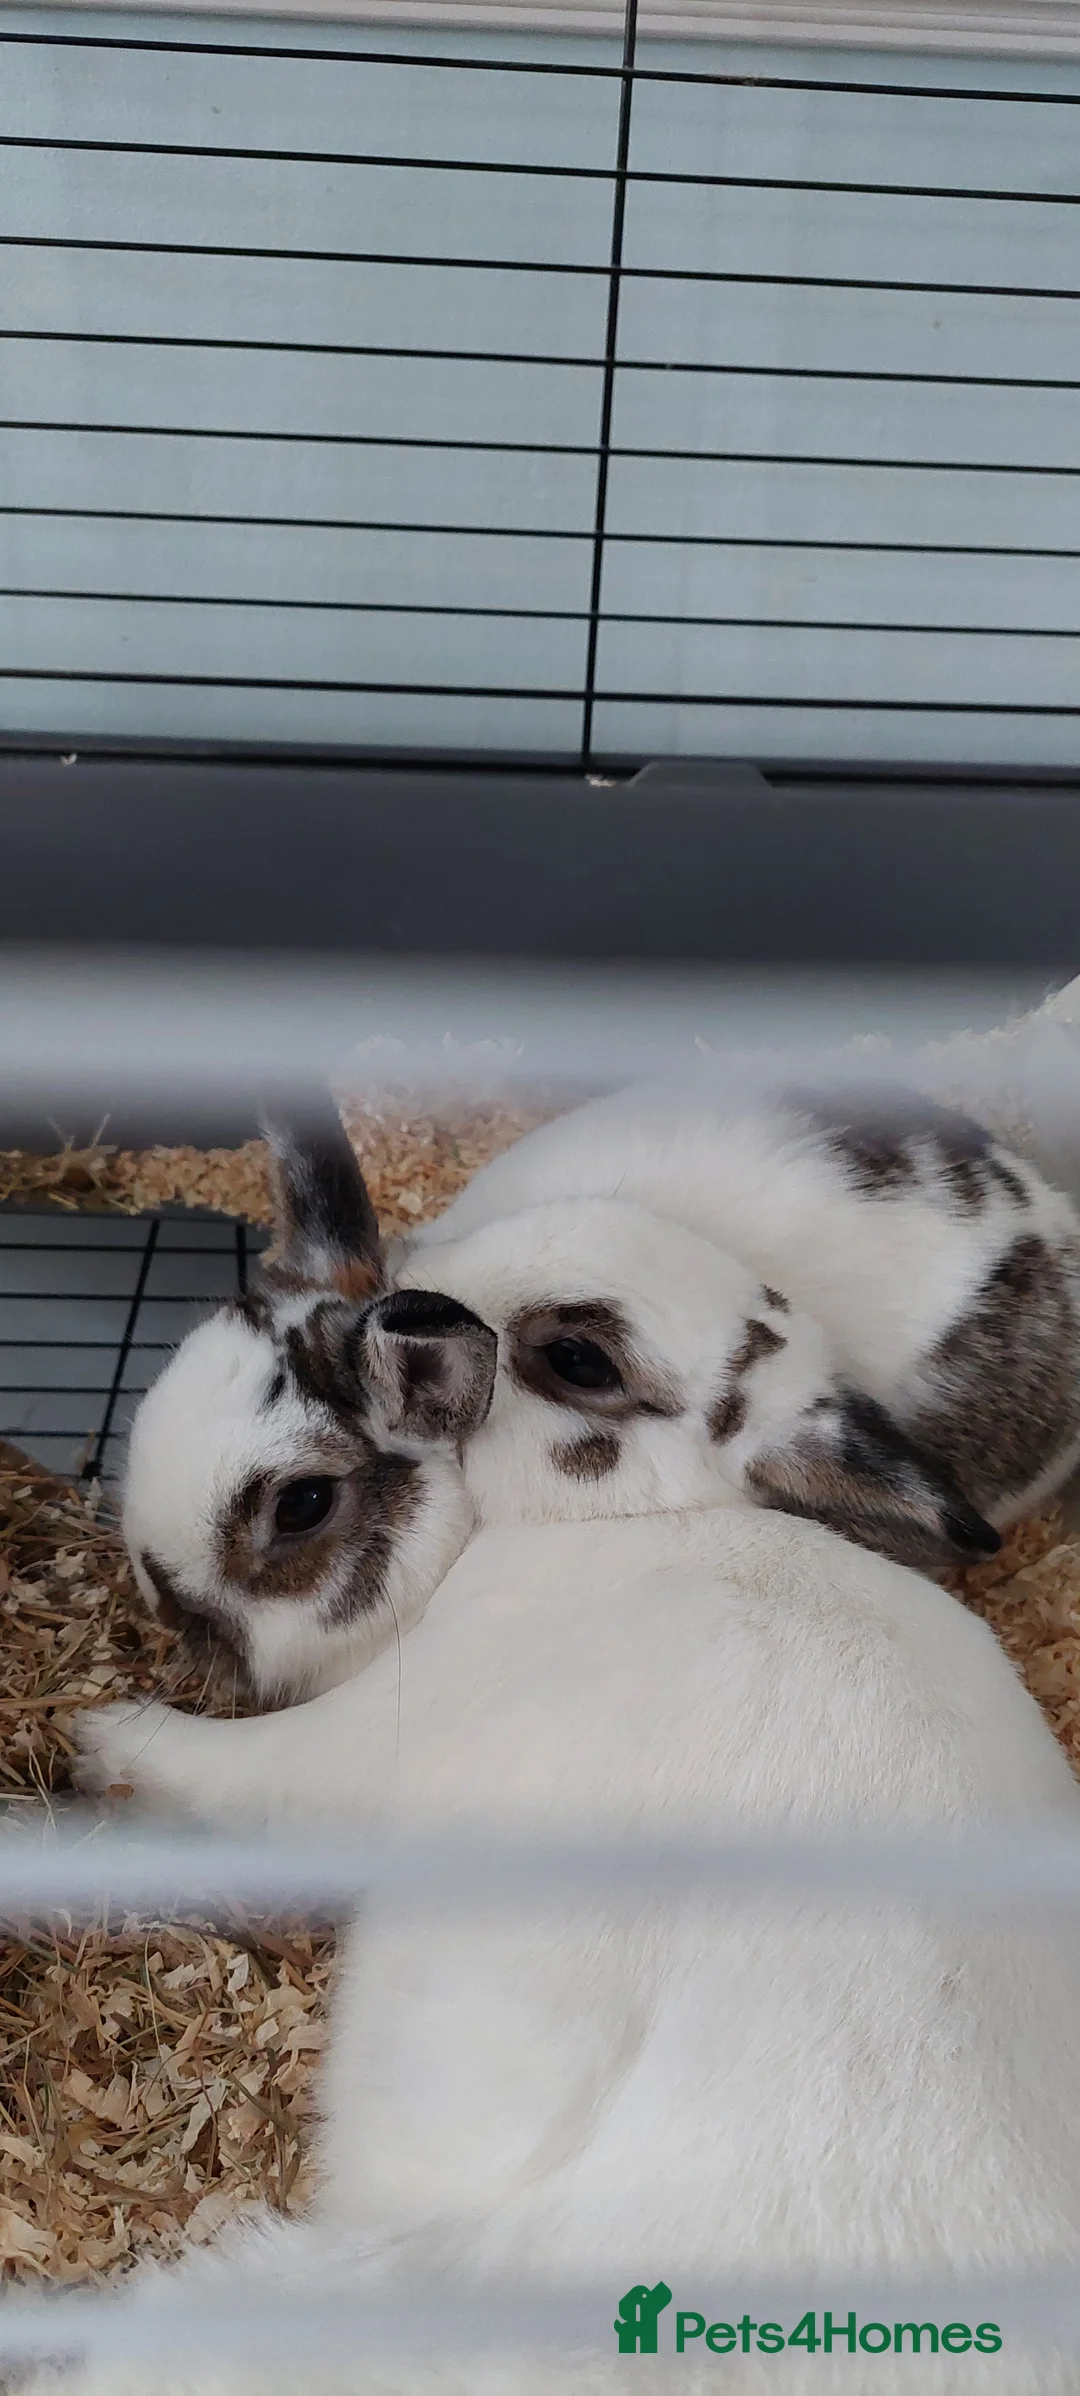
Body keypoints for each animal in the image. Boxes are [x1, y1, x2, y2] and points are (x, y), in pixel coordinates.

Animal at [50, 1190, 1080, 2396]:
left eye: (579, 1357)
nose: (402, 1300)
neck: (615, 1525)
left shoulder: (365, 1738)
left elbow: (228, 1775)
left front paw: (101, 1733)